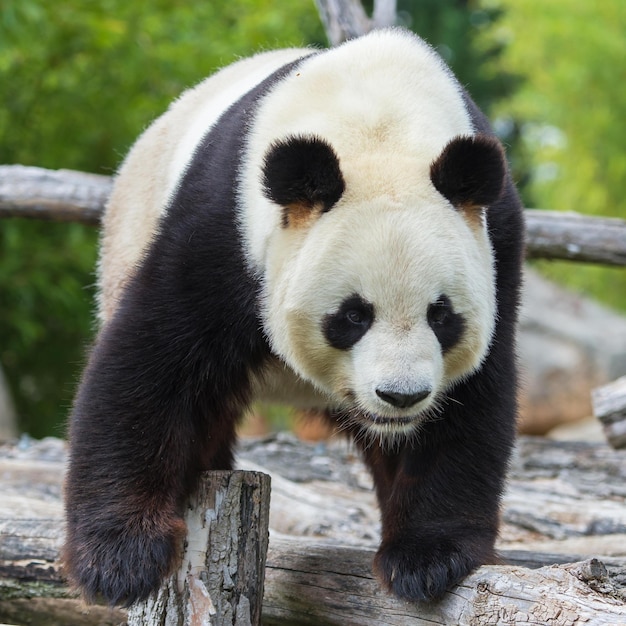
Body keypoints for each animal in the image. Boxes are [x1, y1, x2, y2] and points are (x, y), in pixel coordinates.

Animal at [62, 28, 520, 604]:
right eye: (353, 316)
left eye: (441, 315)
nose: (401, 396)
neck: (380, 126)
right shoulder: (225, 227)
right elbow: (150, 360)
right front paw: (120, 559)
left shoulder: (497, 244)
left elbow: (470, 407)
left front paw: (427, 558)